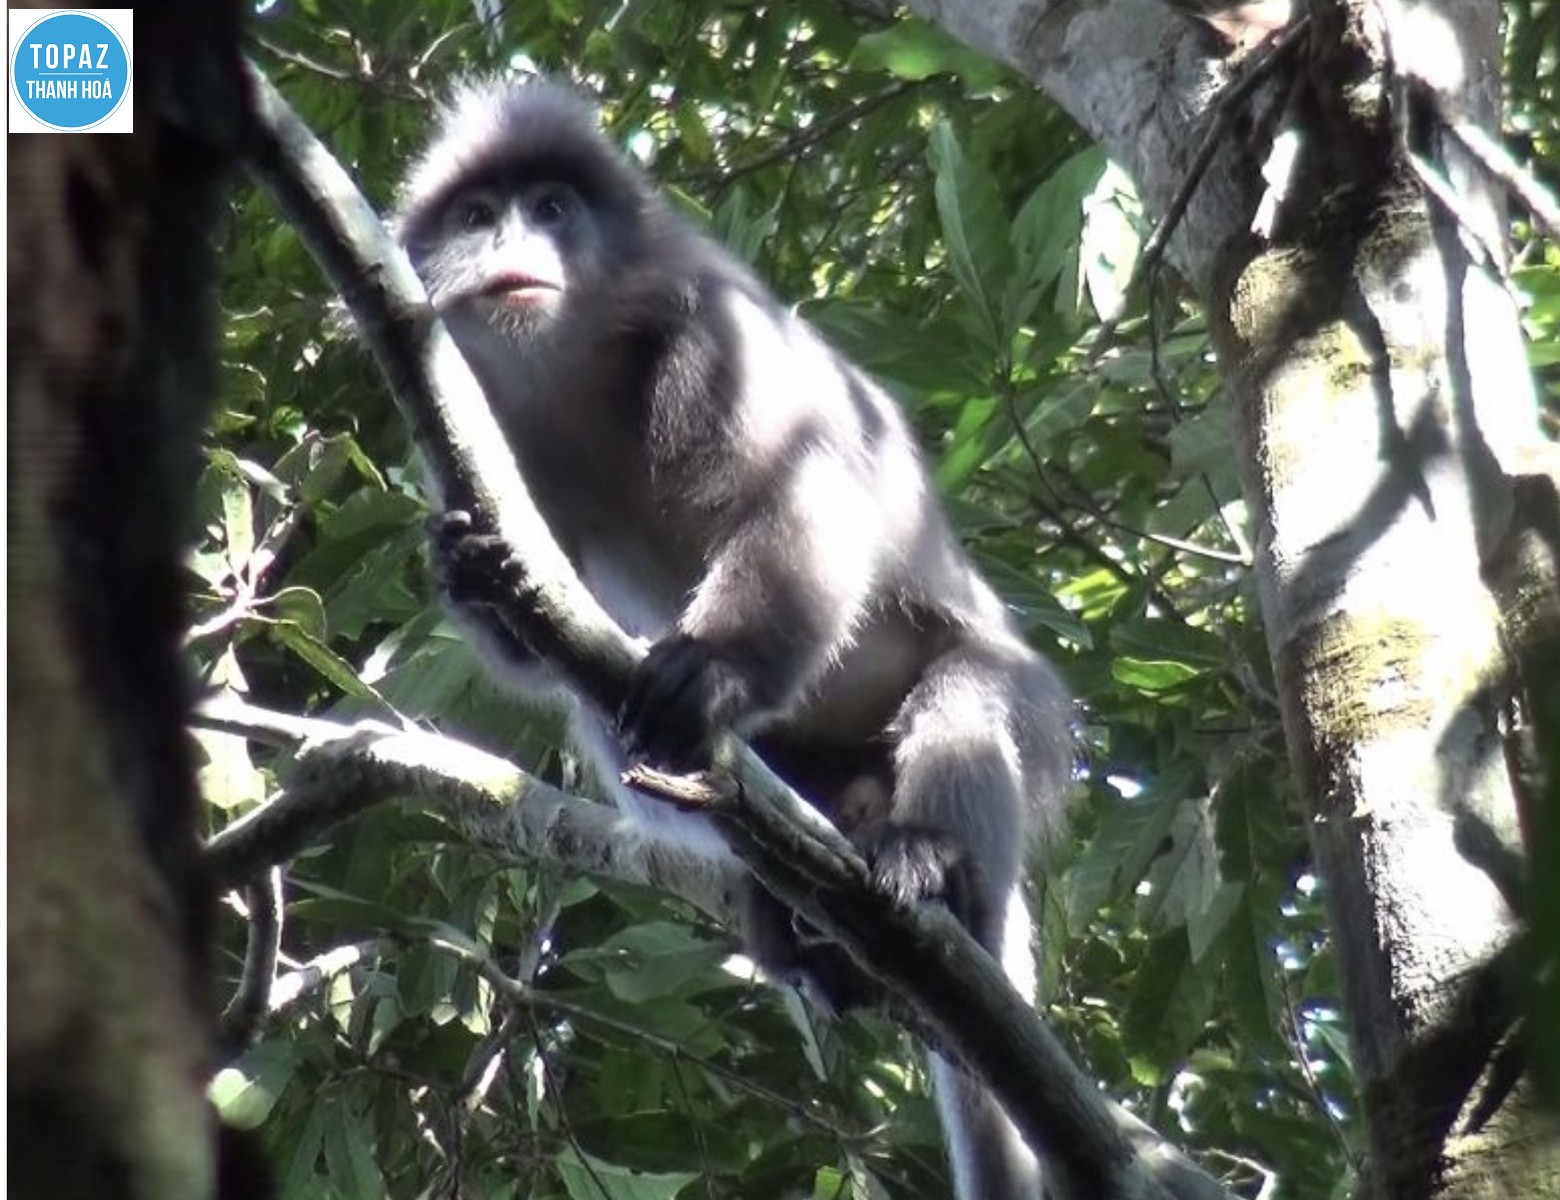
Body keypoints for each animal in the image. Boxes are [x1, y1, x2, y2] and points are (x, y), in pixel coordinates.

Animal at [393, 77, 1073, 1198]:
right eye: (479, 215)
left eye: (551, 209)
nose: (512, 243)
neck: (573, 370)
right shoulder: (474, 426)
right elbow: (539, 639)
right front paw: (469, 566)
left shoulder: (715, 327)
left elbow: (798, 492)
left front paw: (714, 670)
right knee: (619, 720)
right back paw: (791, 919)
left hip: (1016, 695)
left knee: (968, 708)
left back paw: (932, 866)